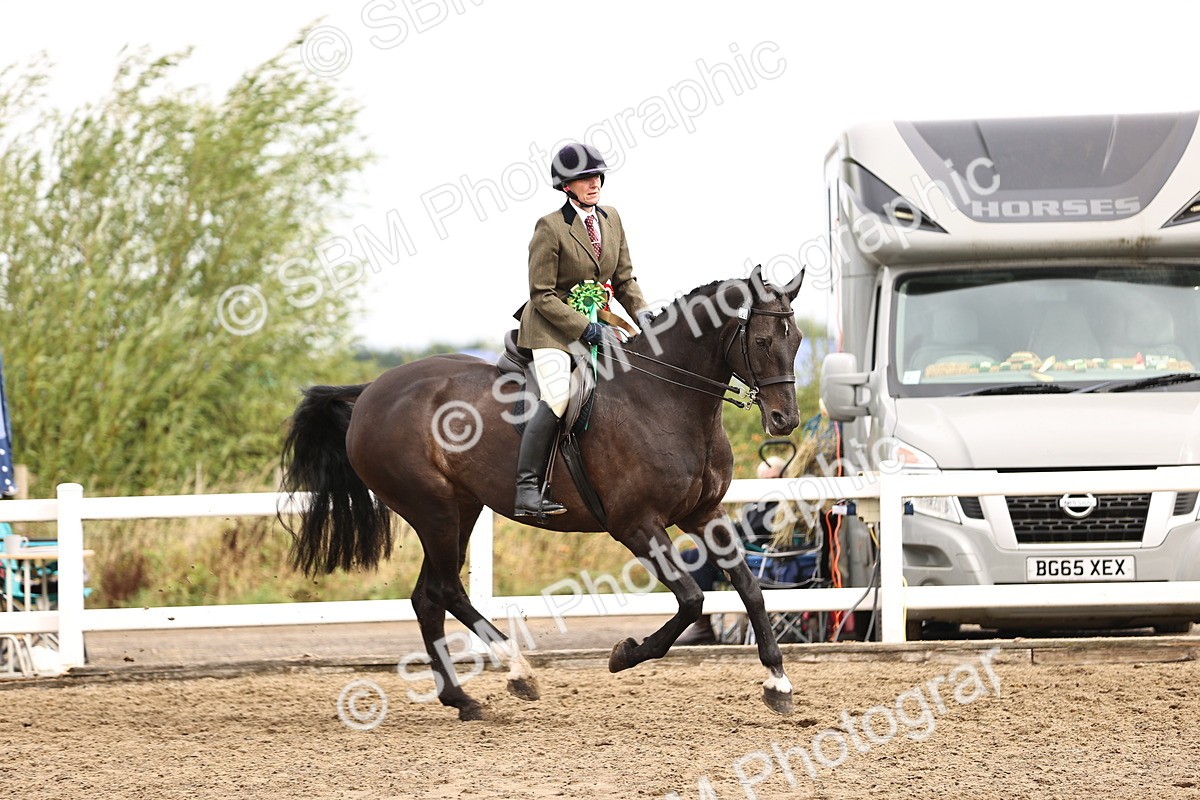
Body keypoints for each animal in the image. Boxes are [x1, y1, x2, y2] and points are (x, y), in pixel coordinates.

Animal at [281, 265, 805, 721]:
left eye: (797, 340)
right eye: (761, 341)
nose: (785, 421)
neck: (666, 399)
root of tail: (372, 390)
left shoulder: (704, 513)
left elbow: (750, 588)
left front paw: (777, 683)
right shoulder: (635, 525)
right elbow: (692, 598)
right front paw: (625, 654)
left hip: (462, 507)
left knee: (427, 597)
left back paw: (462, 700)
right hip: (433, 510)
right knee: (445, 589)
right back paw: (517, 672)